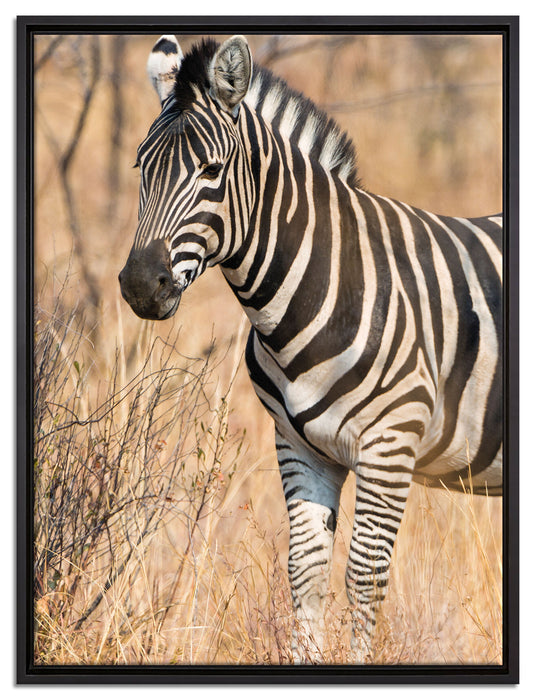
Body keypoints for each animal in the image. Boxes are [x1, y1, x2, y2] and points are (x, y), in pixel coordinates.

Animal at [119, 34, 503, 663]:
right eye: (140, 168)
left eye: (212, 170)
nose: (138, 286)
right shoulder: (300, 446)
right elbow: (306, 570)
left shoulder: (389, 445)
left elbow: (364, 579)